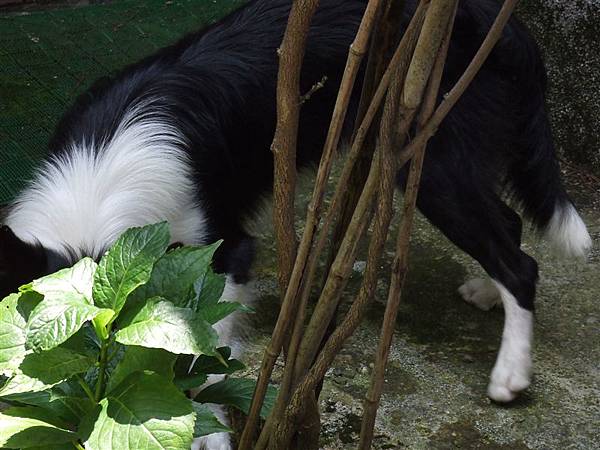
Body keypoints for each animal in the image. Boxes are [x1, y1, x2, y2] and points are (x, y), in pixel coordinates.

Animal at [0, 0, 592, 446]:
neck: (99, 181)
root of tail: (500, 18)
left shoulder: (225, 252)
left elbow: (202, 360)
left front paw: (210, 435)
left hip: (431, 165)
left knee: (520, 263)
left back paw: (510, 373)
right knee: (510, 228)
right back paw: (487, 294)